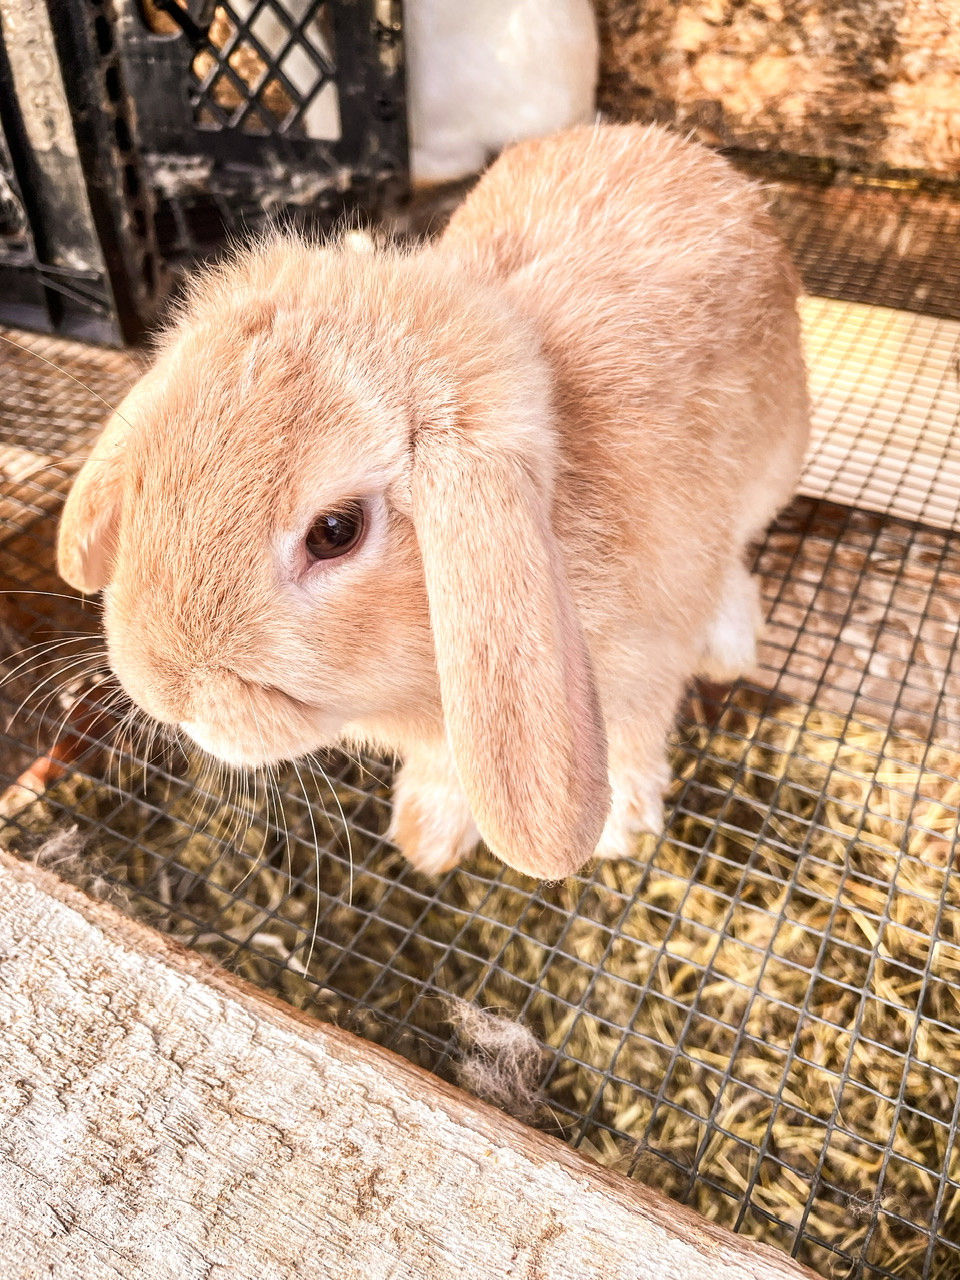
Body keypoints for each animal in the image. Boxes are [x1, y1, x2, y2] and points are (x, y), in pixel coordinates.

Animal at [57, 123, 810, 881]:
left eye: (336, 531)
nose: (163, 691)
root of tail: (693, 153)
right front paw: (427, 837)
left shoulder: (648, 663)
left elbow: (636, 736)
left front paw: (620, 829)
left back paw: (731, 643)